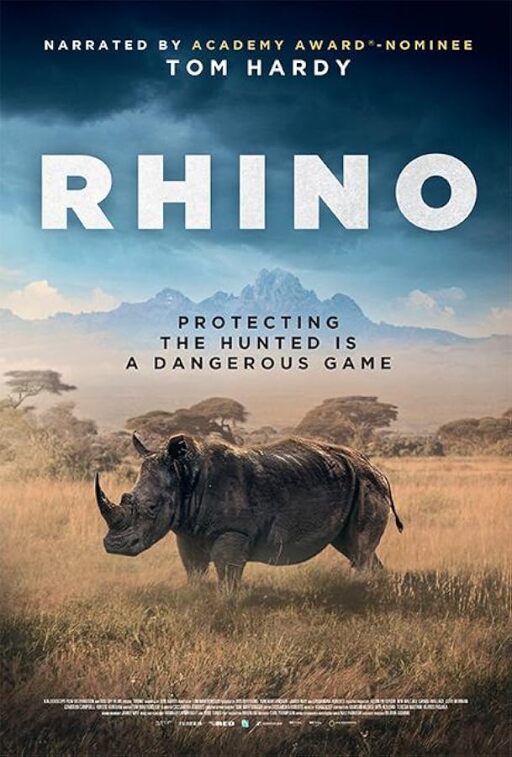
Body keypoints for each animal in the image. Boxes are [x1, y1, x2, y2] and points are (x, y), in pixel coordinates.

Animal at [95, 434, 403, 590]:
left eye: (151, 507)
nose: (114, 546)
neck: (185, 477)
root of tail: (375, 467)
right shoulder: (188, 531)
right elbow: (193, 569)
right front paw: (195, 598)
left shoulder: (233, 531)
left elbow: (227, 573)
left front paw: (225, 605)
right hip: (355, 482)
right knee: (354, 549)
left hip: (366, 483)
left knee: (359, 549)